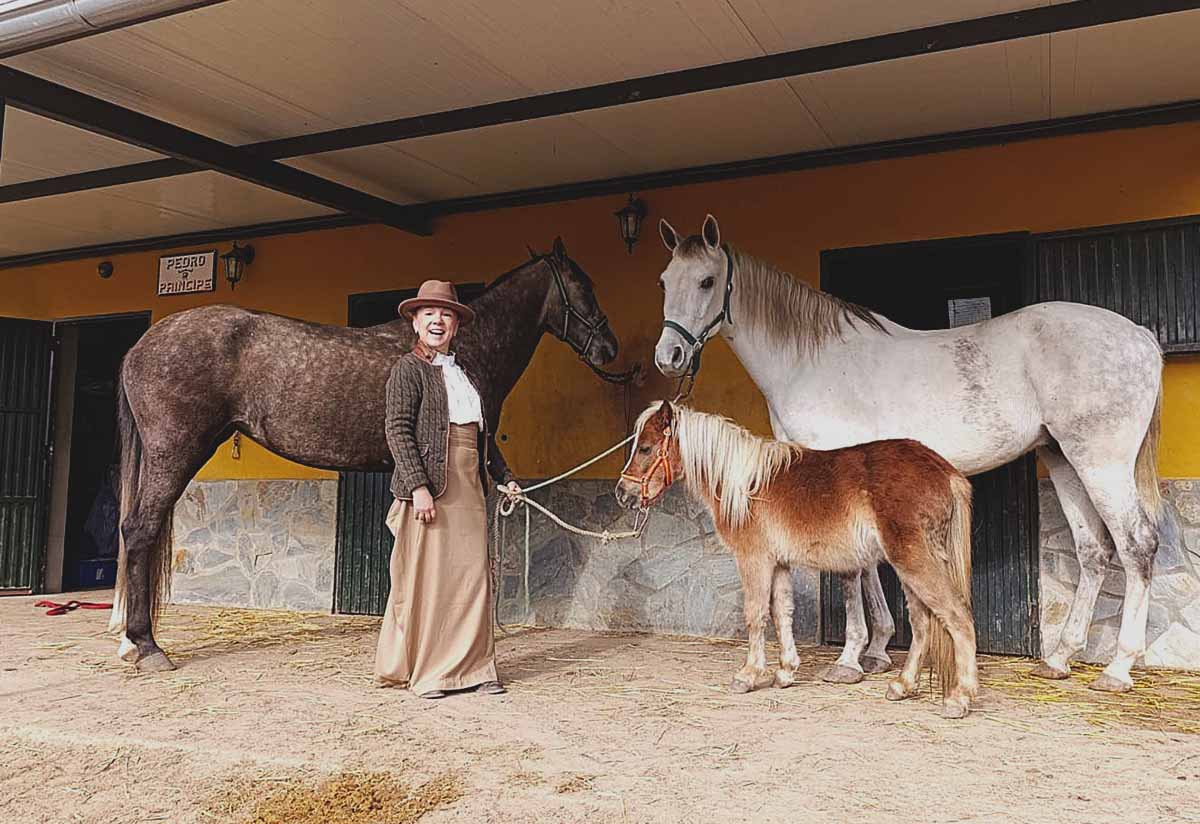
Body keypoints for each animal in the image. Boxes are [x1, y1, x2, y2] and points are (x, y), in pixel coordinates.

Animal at [614, 403, 979, 719]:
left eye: (645, 448)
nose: (622, 493)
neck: (745, 485)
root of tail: (946, 472)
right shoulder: (779, 564)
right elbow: (782, 614)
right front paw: (786, 672)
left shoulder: (754, 560)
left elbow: (756, 615)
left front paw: (748, 675)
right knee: (922, 624)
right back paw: (902, 686)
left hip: (914, 563)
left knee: (957, 617)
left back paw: (959, 699)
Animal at [652, 215, 1156, 690]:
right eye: (663, 281)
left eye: (707, 281)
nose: (669, 357)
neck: (813, 362)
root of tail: (1140, 336)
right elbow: (866, 563)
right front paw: (876, 650)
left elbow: (852, 570)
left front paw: (850, 658)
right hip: (1062, 458)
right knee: (1093, 550)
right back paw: (1059, 659)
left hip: (1100, 463)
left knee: (1137, 545)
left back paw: (1118, 668)